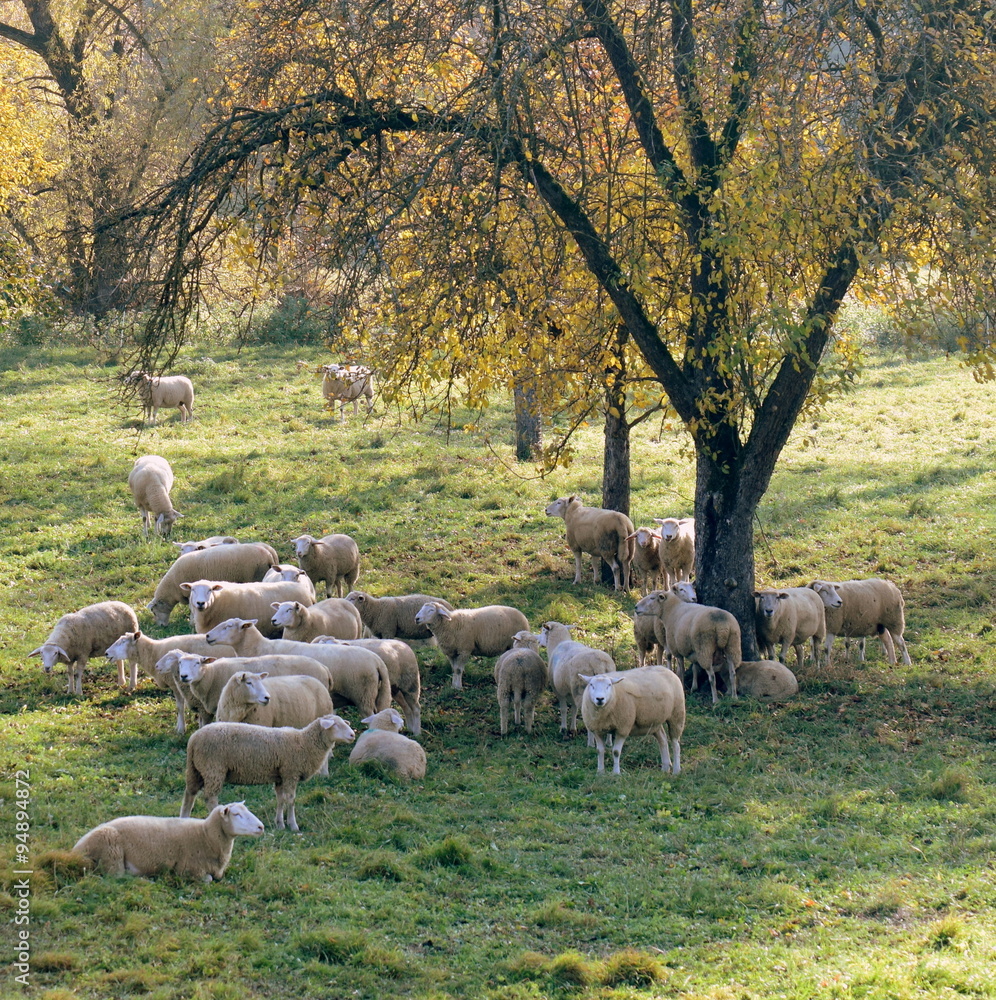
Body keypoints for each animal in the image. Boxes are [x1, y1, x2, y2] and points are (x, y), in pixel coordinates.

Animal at [73, 802, 263, 882]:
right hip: (111, 853)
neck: (205, 835)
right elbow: (208, 879)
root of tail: (76, 850)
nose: (261, 827)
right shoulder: (189, 869)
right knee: (116, 877)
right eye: (236, 814)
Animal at [104, 630, 237, 731]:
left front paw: (181, 728)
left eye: (122, 642)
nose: (106, 653)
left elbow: (180, 706)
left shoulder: (176, 684)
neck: (152, 651)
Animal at [181, 715, 356, 832]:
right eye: (335, 725)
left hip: (196, 770)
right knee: (210, 798)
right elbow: (290, 800)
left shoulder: (280, 776)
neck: (304, 743)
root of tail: (194, 739)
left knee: (189, 795)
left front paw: (279, 823)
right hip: (214, 768)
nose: (353, 735)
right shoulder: (290, 773)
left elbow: (280, 799)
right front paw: (293, 825)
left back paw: (183, 820)